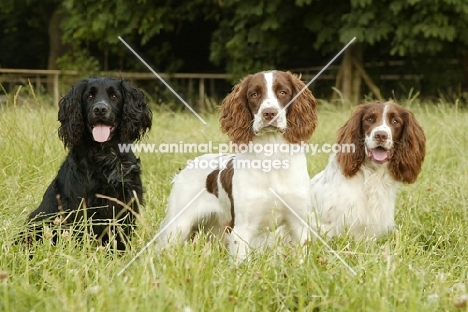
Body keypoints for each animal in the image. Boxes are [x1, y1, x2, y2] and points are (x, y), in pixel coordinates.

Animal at [26, 77, 152, 250]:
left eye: (114, 96)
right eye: (89, 96)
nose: (100, 109)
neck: (105, 154)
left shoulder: (127, 202)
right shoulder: (80, 205)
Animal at [157, 70, 318, 258]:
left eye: (283, 92)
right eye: (254, 94)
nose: (269, 113)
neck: (271, 157)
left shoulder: (299, 223)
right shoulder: (242, 227)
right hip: (178, 226)